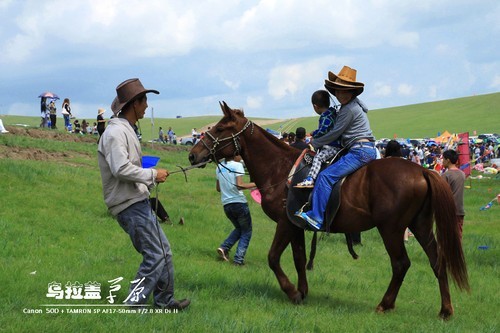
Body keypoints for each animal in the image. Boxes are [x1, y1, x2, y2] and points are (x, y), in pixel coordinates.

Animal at [188, 100, 468, 316]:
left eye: (220, 128)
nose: (193, 154)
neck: (279, 168)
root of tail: (421, 170)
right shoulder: (295, 224)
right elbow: (299, 258)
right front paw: (302, 291)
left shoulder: (285, 223)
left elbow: (273, 257)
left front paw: (291, 292)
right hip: (420, 225)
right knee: (437, 261)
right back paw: (445, 310)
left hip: (391, 229)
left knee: (401, 264)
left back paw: (385, 304)